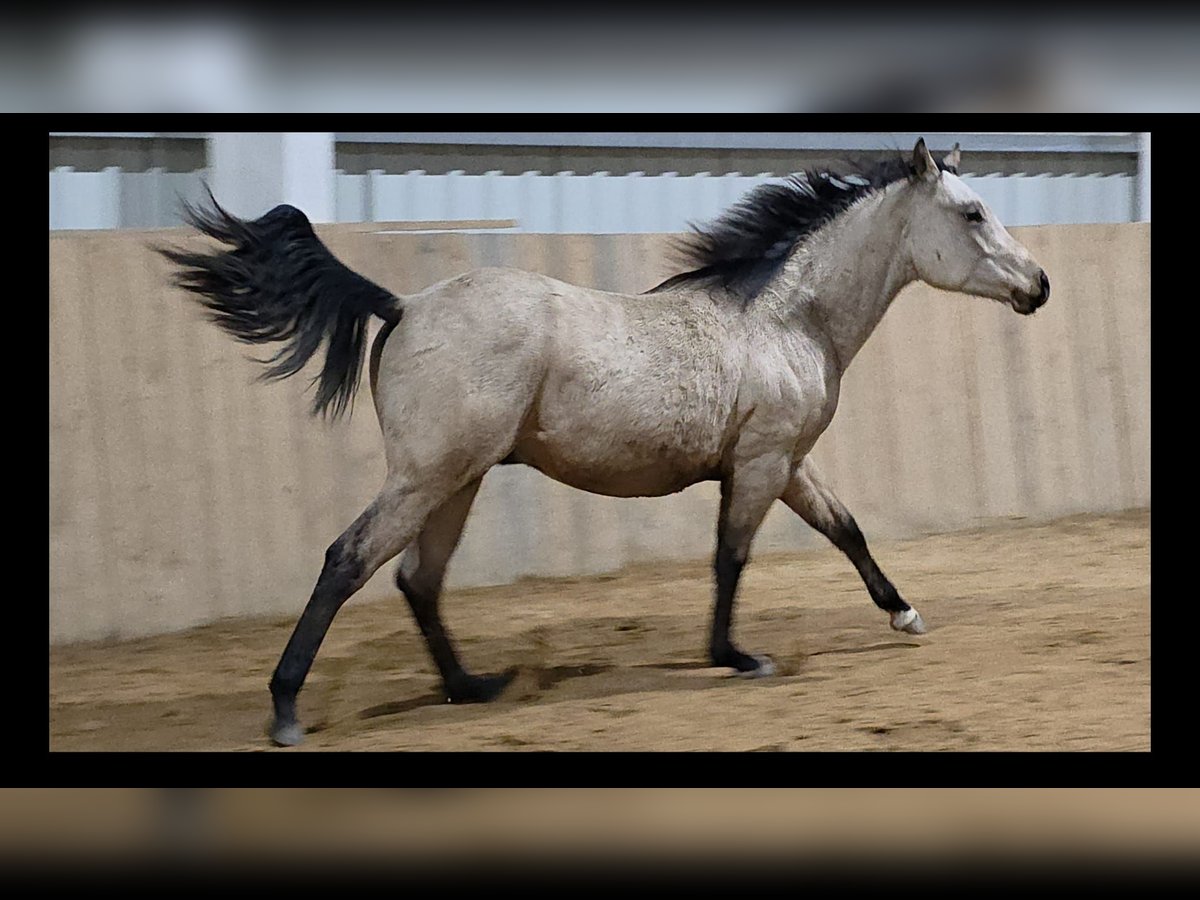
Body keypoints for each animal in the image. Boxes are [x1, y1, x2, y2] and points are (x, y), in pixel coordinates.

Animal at [159, 139, 1049, 747]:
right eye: (972, 213)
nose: (1038, 285)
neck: (786, 321)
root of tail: (404, 304)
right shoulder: (761, 463)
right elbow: (732, 558)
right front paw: (735, 657)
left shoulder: (787, 462)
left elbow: (847, 531)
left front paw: (904, 614)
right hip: (426, 475)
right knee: (350, 560)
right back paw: (286, 710)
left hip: (458, 480)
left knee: (418, 578)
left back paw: (473, 687)